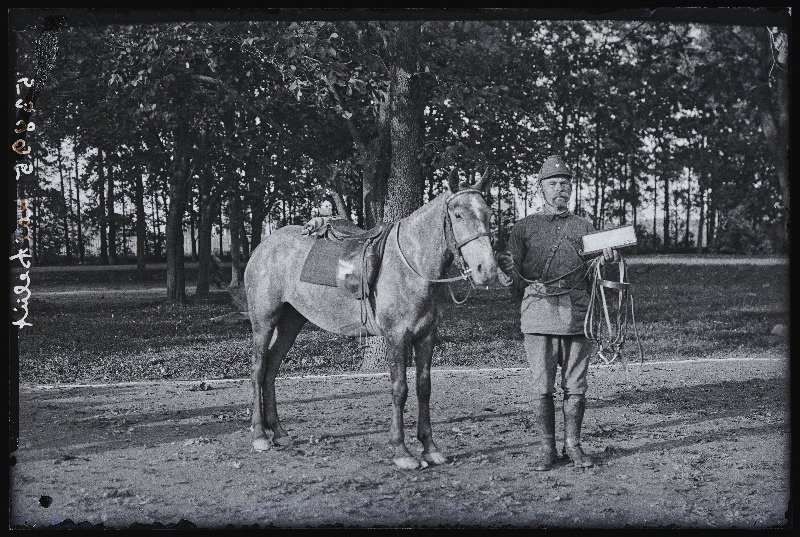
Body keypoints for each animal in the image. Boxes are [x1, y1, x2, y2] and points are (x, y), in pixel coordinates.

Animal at [244, 169, 496, 468]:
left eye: (489, 214)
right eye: (457, 215)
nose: (486, 270)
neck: (413, 266)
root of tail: (263, 247)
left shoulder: (426, 336)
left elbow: (424, 388)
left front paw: (430, 448)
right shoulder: (396, 337)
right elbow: (399, 389)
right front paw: (401, 451)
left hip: (291, 322)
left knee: (272, 368)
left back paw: (279, 432)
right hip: (264, 321)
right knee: (258, 369)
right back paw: (260, 436)